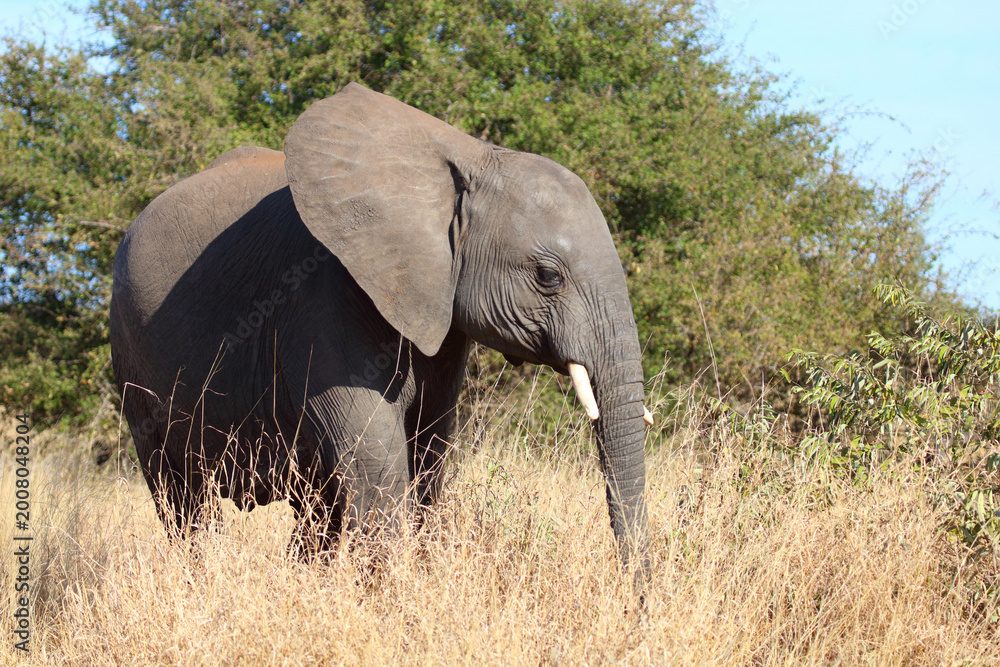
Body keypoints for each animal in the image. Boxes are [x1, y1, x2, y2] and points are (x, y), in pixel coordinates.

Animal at [109, 82, 653, 575]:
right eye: (548, 277)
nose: (636, 602)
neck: (467, 160)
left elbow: (429, 451)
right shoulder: (322, 293)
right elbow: (377, 465)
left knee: (315, 507)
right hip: (131, 351)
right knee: (182, 499)